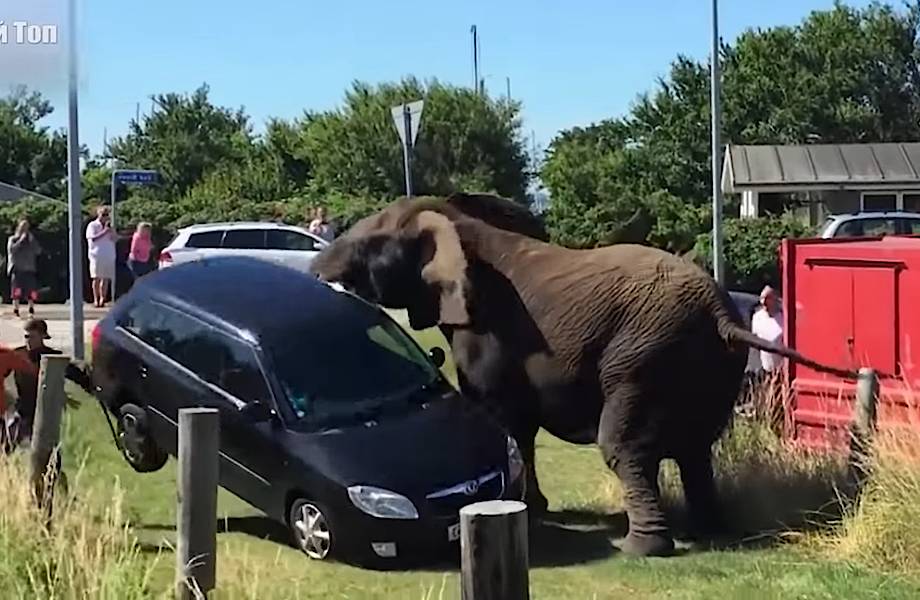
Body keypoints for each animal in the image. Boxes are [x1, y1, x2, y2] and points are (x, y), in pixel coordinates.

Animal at [308, 192, 856, 556]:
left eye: (366, 245)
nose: (314, 274)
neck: (457, 221)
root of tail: (722, 313)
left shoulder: (485, 330)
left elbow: (503, 417)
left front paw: (529, 511)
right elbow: (519, 425)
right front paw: (536, 509)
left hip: (643, 356)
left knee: (624, 447)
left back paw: (641, 549)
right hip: (708, 366)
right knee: (696, 449)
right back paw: (707, 533)